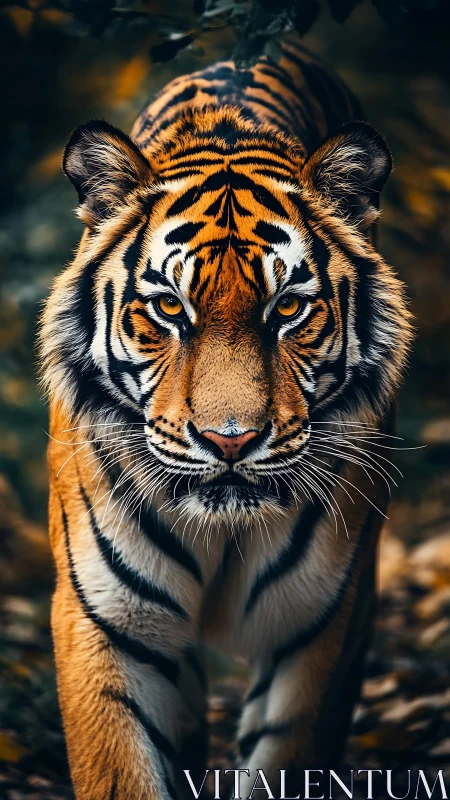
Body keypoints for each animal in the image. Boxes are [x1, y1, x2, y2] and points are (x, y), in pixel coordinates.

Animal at [39, 33, 412, 800]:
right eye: (168, 308)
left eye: (289, 308)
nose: (229, 441)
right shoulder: (107, 624)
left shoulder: (317, 626)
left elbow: (288, 755)